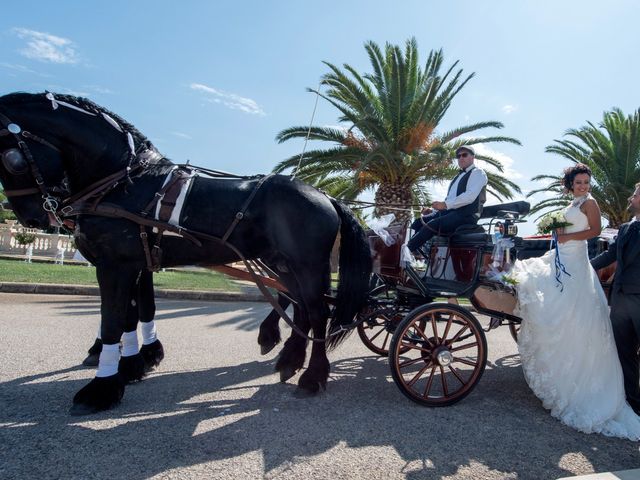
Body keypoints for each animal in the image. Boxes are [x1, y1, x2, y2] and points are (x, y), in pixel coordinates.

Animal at [0, 92, 370, 414]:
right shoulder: (137, 262)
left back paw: (313, 375)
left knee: (317, 312)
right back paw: (289, 357)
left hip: (307, 264)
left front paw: (103, 386)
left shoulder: (115, 265)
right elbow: (136, 313)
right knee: (300, 306)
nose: (32, 217)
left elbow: (113, 320)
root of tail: (324, 195)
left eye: (10, 159)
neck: (125, 181)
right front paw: (135, 364)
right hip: (282, 263)